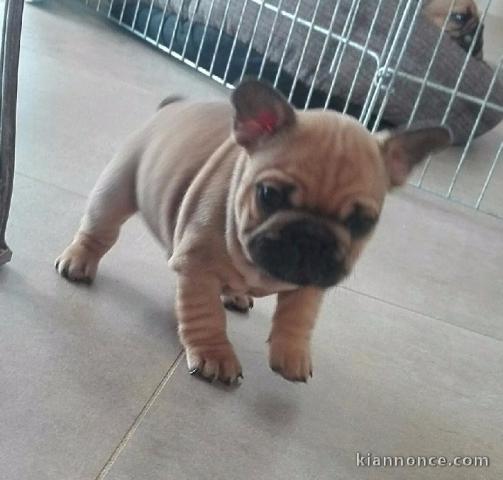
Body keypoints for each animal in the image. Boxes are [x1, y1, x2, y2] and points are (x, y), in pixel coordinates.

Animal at [56, 80, 452, 384]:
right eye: (268, 195)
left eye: (362, 223)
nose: (311, 236)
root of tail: (172, 108)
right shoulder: (198, 267)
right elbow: (204, 315)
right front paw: (216, 356)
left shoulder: (313, 279)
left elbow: (300, 315)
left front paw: (291, 354)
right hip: (117, 187)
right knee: (100, 229)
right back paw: (78, 261)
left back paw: (236, 295)